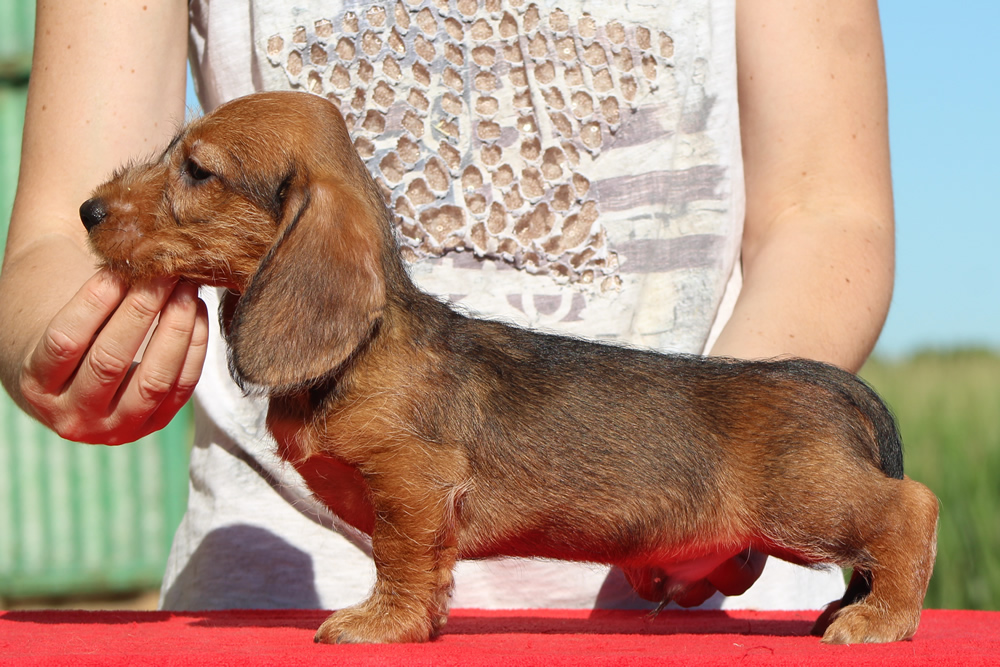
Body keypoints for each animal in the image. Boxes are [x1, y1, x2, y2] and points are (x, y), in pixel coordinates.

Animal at [78, 91, 936, 644]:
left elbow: (398, 556)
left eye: (197, 171)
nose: (87, 210)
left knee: (910, 508)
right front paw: (416, 622)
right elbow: (425, 567)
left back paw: (879, 619)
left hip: (807, 501)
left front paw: (378, 623)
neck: (364, 347)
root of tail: (820, 378)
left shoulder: (411, 485)